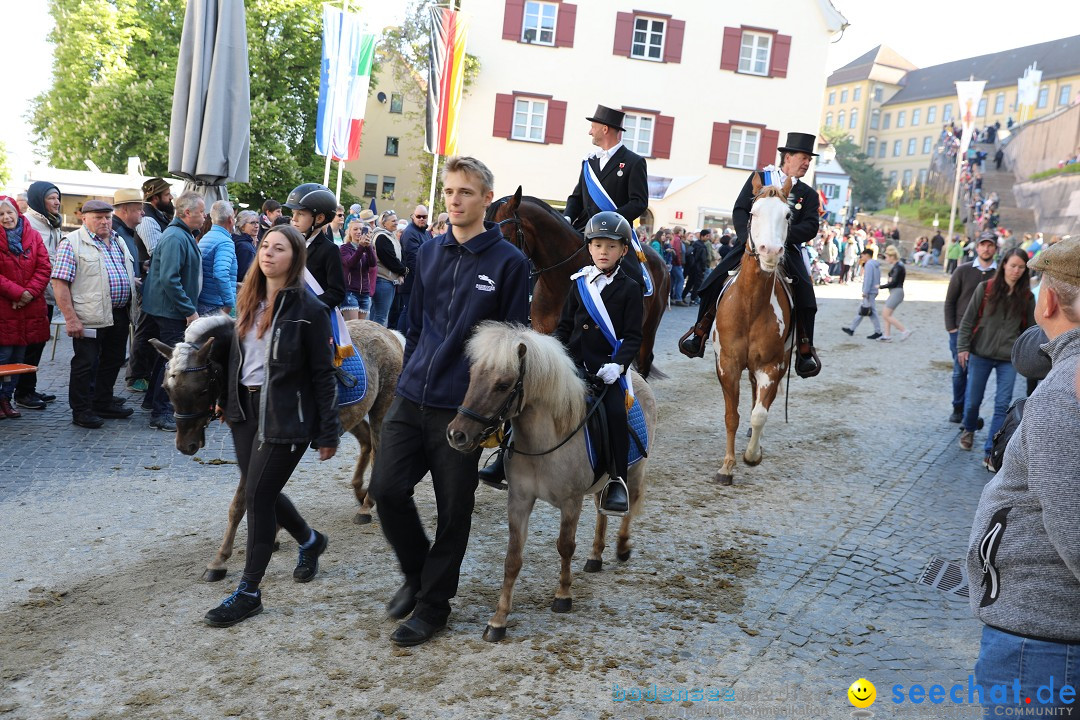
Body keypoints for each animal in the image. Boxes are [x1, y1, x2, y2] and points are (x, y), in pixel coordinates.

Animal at [712, 177, 799, 487]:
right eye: (753, 213)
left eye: (788, 215)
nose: (770, 251)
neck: (750, 304)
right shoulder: (727, 365)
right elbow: (731, 416)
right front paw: (726, 467)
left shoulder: (771, 367)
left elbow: (759, 415)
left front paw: (752, 455)